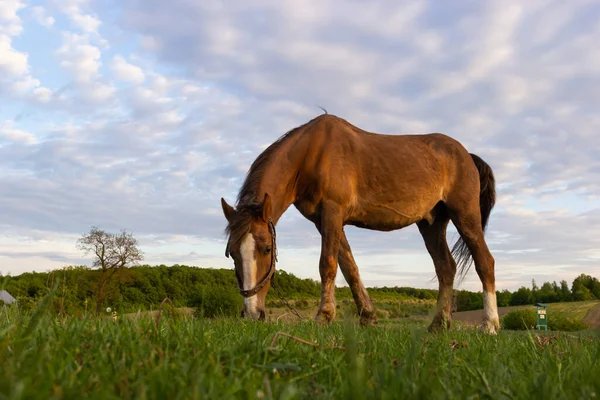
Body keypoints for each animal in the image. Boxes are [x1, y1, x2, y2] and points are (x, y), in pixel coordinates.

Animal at [219, 113, 496, 334]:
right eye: (232, 253)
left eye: (267, 249)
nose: (252, 313)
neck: (311, 153)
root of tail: (467, 155)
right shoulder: (326, 220)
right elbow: (349, 267)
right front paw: (368, 318)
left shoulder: (332, 212)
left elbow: (328, 264)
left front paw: (323, 317)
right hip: (431, 224)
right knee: (446, 268)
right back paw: (438, 325)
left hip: (465, 215)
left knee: (485, 262)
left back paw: (490, 325)